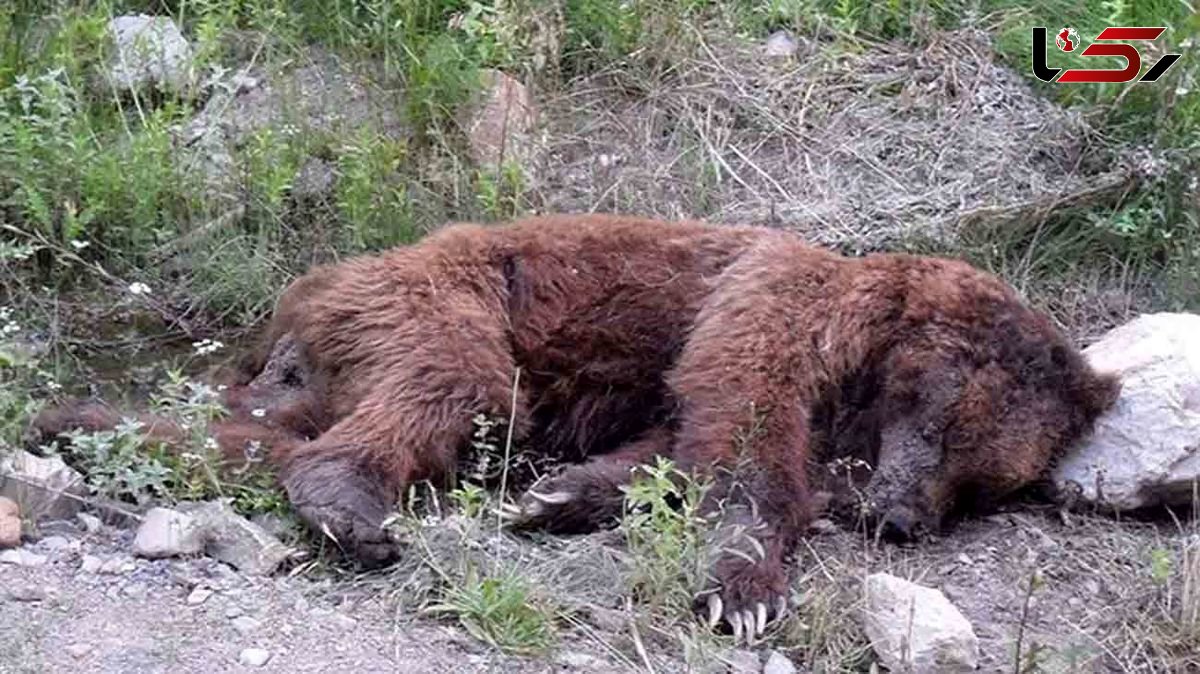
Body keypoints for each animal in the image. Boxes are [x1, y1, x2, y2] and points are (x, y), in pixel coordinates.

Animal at [35, 212, 1113, 638]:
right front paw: (745, 590)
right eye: (946, 426)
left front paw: (561, 494)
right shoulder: (770, 307)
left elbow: (667, 445)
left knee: (259, 423)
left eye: (987, 482)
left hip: (324, 356)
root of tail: (296, 300)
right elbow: (743, 434)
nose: (900, 517)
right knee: (449, 385)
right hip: (443, 298)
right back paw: (351, 506)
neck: (862, 356)